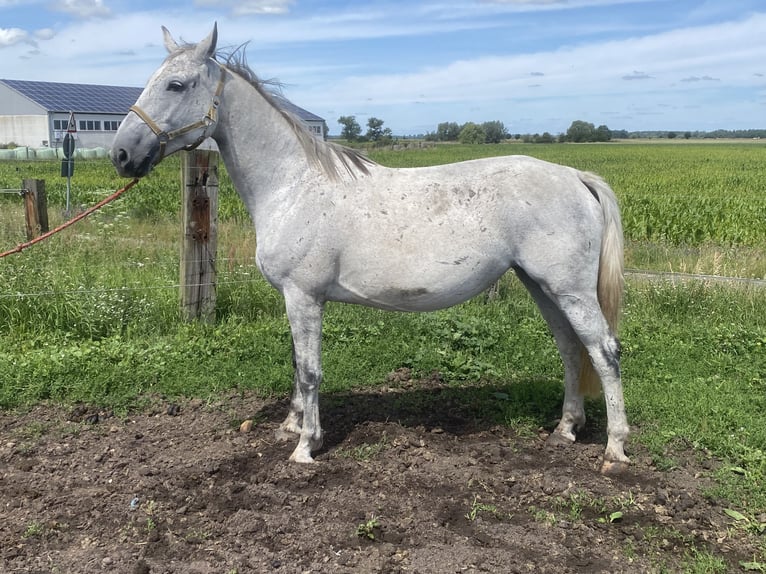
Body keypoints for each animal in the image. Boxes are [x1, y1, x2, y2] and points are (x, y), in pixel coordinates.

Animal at [112, 23, 632, 476]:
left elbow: (310, 371)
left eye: (176, 85)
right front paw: (291, 427)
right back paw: (565, 429)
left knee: (604, 351)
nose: (121, 154)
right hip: (542, 285)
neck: (292, 185)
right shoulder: (295, 299)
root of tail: (574, 176)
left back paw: (615, 448)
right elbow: (297, 364)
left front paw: (306, 446)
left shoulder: (304, 297)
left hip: (569, 289)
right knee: (571, 348)